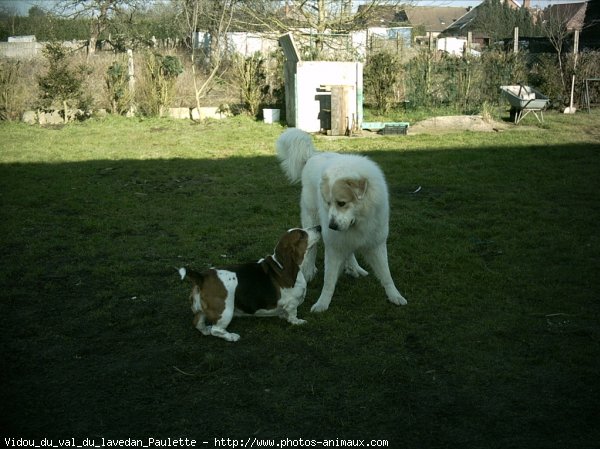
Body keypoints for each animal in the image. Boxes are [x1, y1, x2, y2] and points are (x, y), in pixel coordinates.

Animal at [276, 128, 408, 312]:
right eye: (327, 203)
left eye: (341, 203)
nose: (331, 226)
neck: (359, 220)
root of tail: (313, 155)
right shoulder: (334, 244)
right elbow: (329, 281)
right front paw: (322, 304)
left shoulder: (376, 243)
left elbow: (386, 274)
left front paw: (395, 296)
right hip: (311, 218)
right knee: (312, 247)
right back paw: (309, 271)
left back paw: (355, 268)